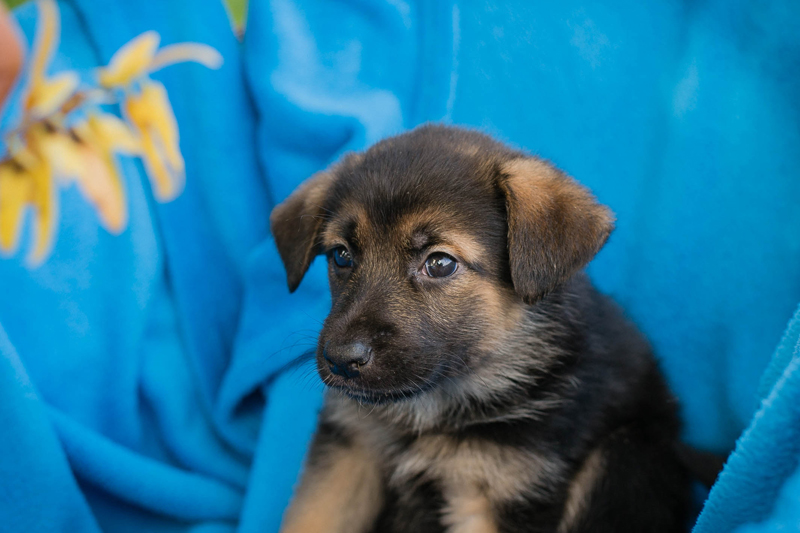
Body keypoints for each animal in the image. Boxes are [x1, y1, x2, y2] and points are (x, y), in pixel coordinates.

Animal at [270, 125, 690, 533]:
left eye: (440, 263)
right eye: (341, 255)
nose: (341, 360)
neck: (435, 407)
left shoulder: (498, 488)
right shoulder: (349, 450)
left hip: (625, 455)